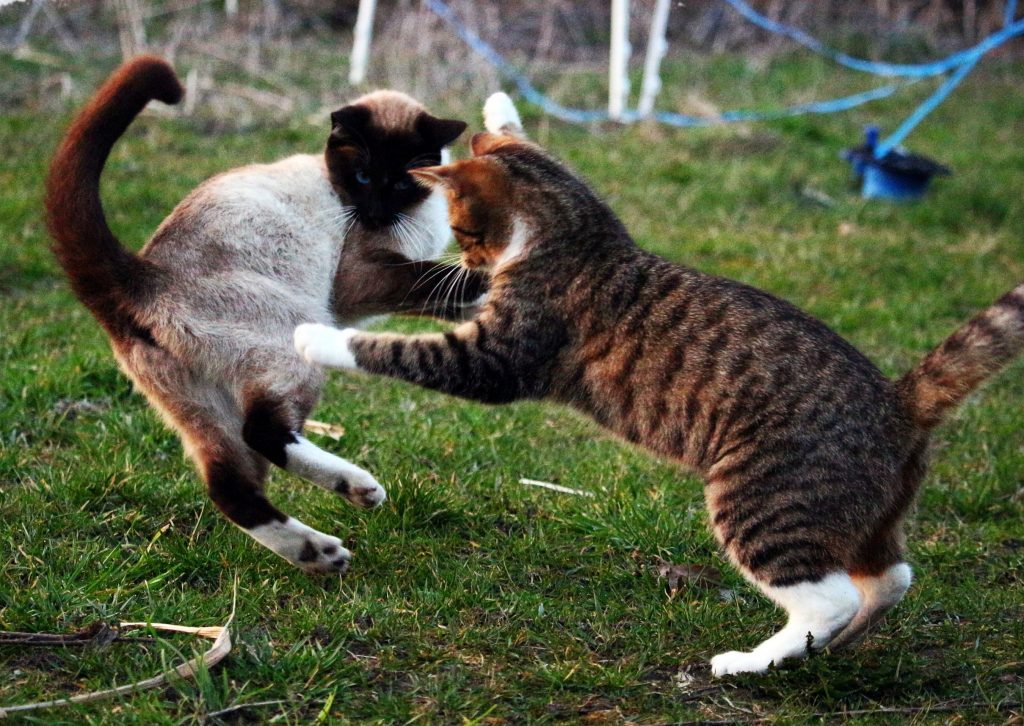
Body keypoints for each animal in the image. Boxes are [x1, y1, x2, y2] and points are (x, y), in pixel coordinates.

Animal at [294, 94, 1024, 675]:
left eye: (464, 227)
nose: (470, 258)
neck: (576, 234)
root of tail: (900, 400)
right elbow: (524, 140)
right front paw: (501, 106)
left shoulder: (498, 356)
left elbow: (393, 349)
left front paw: (312, 336)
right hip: (870, 519)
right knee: (892, 578)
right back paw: (835, 647)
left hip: (760, 502)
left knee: (829, 596)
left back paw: (753, 662)